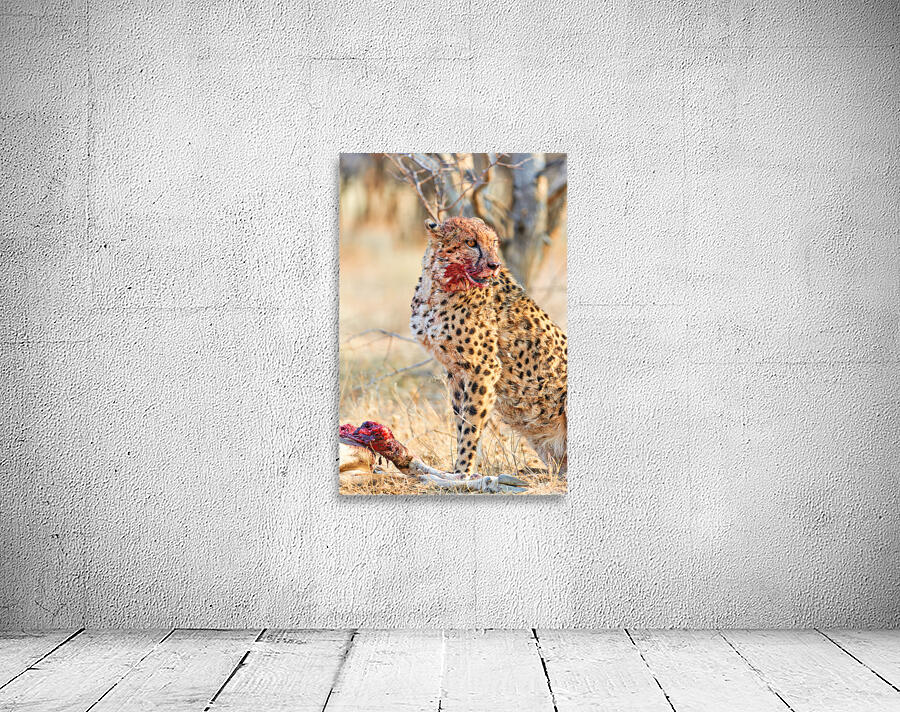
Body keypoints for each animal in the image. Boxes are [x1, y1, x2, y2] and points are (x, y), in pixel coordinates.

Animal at [410, 216, 567, 479]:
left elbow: (471, 425)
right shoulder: (455, 371)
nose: (494, 264)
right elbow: (461, 420)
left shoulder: (484, 368)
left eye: (493, 242)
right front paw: (458, 472)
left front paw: (461, 474)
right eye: (470, 243)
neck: (440, 284)